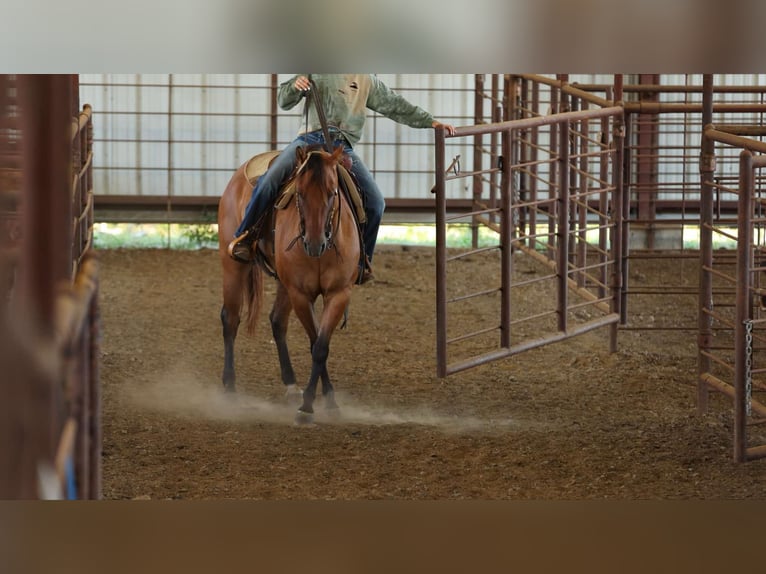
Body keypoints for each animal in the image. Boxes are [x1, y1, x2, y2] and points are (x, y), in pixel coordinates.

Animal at [217, 144, 361, 424]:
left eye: (333, 193)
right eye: (300, 194)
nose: (314, 243)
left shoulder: (339, 294)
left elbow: (320, 345)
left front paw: (327, 400)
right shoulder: (301, 294)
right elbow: (315, 343)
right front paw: (308, 406)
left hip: (283, 284)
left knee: (277, 321)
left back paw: (292, 386)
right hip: (232, 265)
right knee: (230, 318)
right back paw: (229, 389)